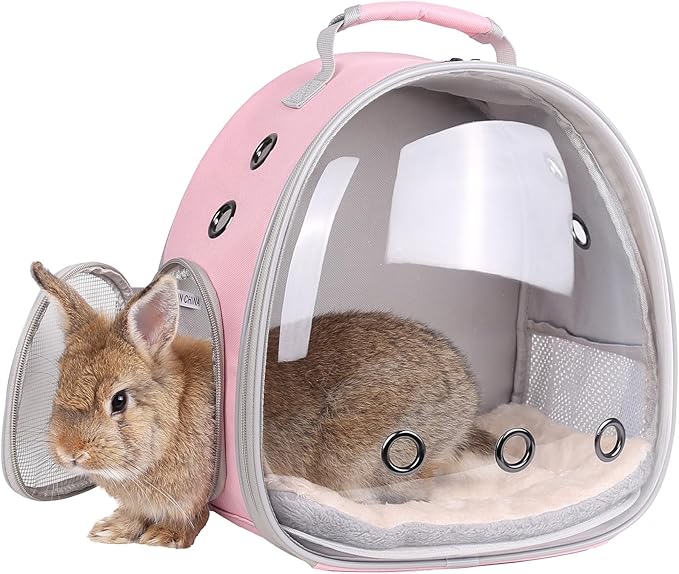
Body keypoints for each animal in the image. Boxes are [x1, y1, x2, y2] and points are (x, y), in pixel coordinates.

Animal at [31, 262, 216, 548]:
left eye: (119, 401)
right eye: (60, 385)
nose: (70, 451)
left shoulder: (196, 493)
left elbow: (192, 514)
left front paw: (164, 536)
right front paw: (111, 531)